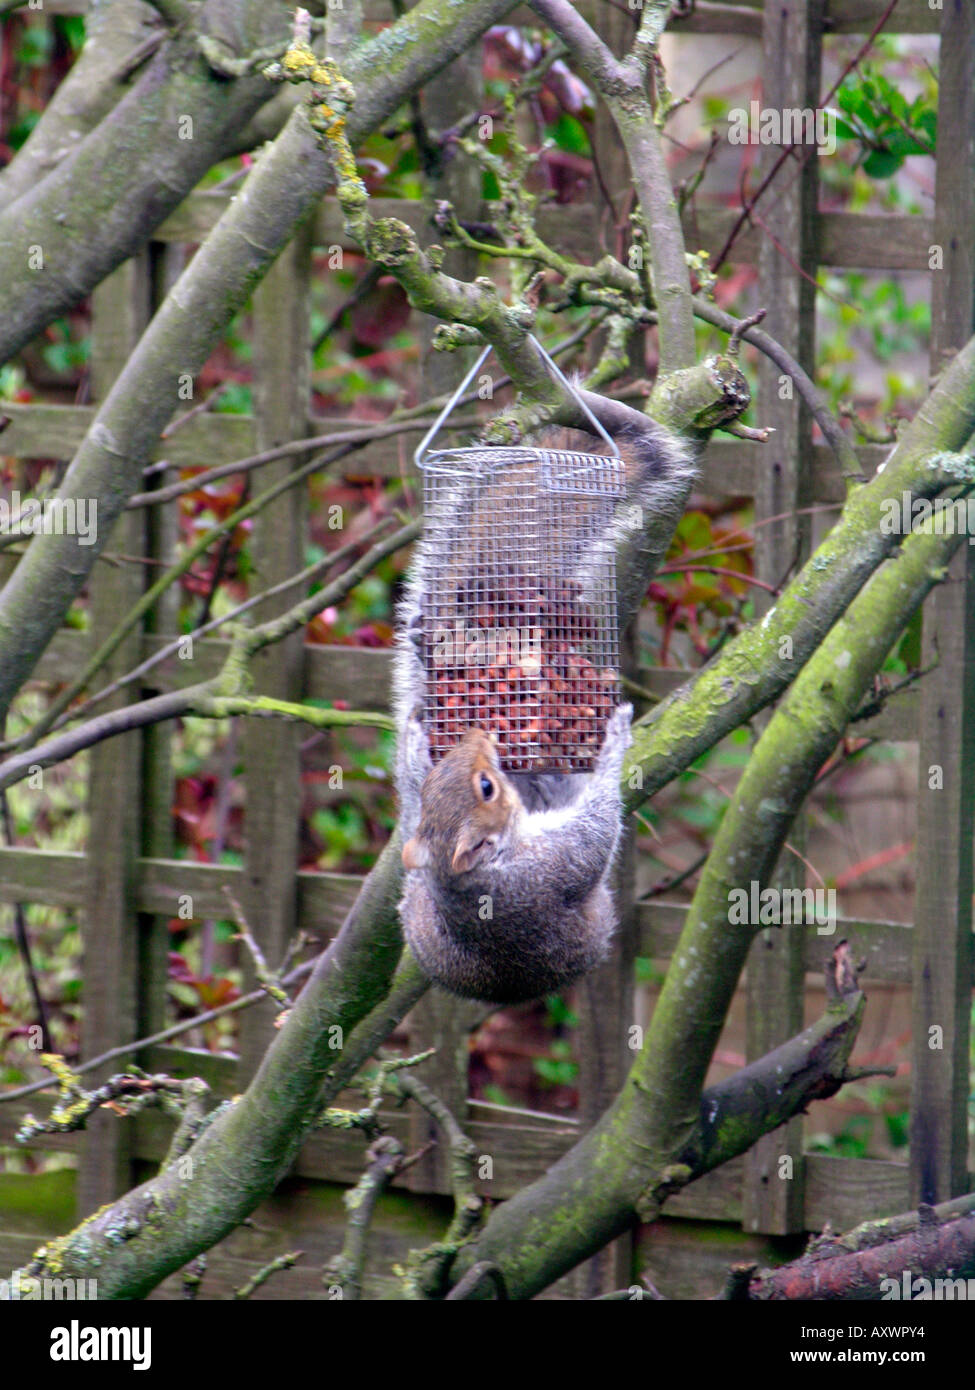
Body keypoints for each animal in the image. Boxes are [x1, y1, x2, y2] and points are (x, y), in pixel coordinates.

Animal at [394, 401, 695, 1004]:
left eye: (458, 780)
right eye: (484, 788)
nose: (479, 738)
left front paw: (414, 745)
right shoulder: (551, 868)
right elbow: (598, 832)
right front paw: (614, 742)